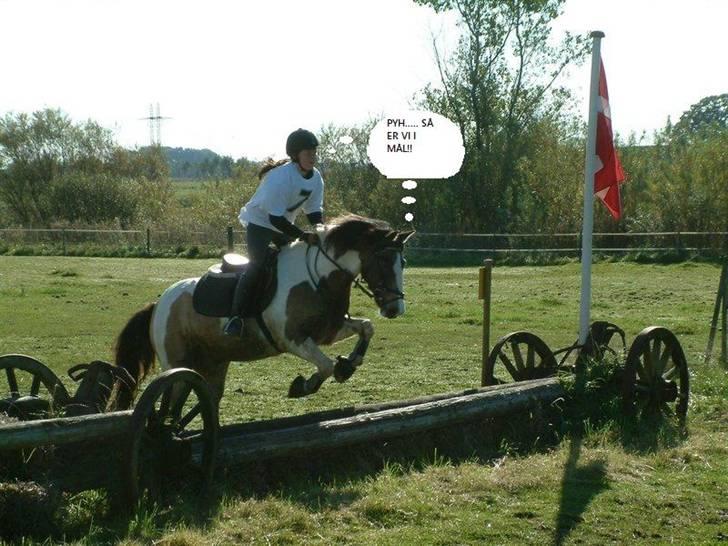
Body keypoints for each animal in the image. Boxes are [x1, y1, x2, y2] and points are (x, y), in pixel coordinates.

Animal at [111, 215, 412, 402]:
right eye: (384, 260)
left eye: (403, 262)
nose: (395, 308)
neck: (320, 277)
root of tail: (158, 303)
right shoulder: (293, 339)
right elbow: (326, 366)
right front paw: (304, 385)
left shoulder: (329, 330)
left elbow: (366, 328)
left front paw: (350, 363)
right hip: (178, 363)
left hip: (214, 363)